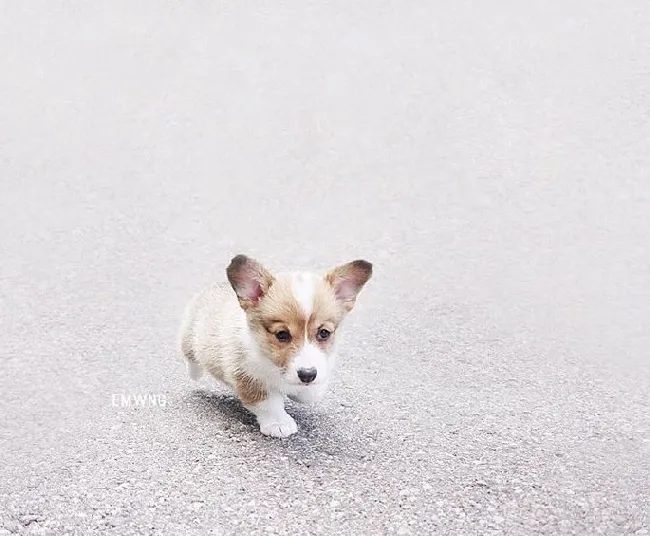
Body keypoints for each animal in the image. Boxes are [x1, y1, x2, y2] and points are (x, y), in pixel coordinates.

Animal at [178, 258, 370, 438]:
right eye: (281, 334)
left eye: (324, 333)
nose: (307, 375)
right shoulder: (248, 376)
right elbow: (268, 403)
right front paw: (279, 424)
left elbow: (310, 394)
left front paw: (309, 389)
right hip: (190, 338)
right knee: (190, 356)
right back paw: (195, 374)